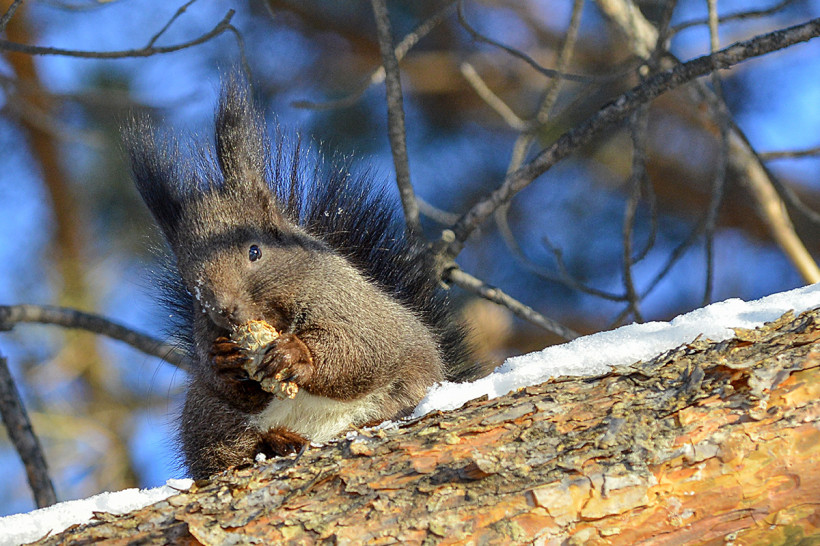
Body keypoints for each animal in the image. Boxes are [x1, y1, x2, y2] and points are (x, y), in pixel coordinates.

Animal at [124, 77, 474, 479]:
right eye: (189, 284)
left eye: (254, 251)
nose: (224, 310)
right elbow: (229, 386)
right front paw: (223, 359)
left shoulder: (351, 306)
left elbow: (361, 348)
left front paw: (296, 355)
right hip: (206, 415)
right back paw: (277, 442)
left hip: (412, 380)